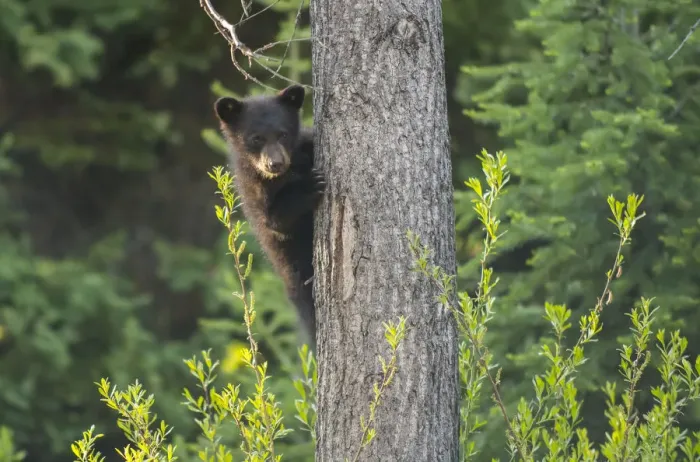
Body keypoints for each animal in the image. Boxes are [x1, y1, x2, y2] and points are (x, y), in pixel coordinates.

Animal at [213, 85, 323, 347]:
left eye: (283, 134)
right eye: (256, 138)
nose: (275, 163)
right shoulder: (253, 191)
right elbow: (276, 221)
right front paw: (310, 185)